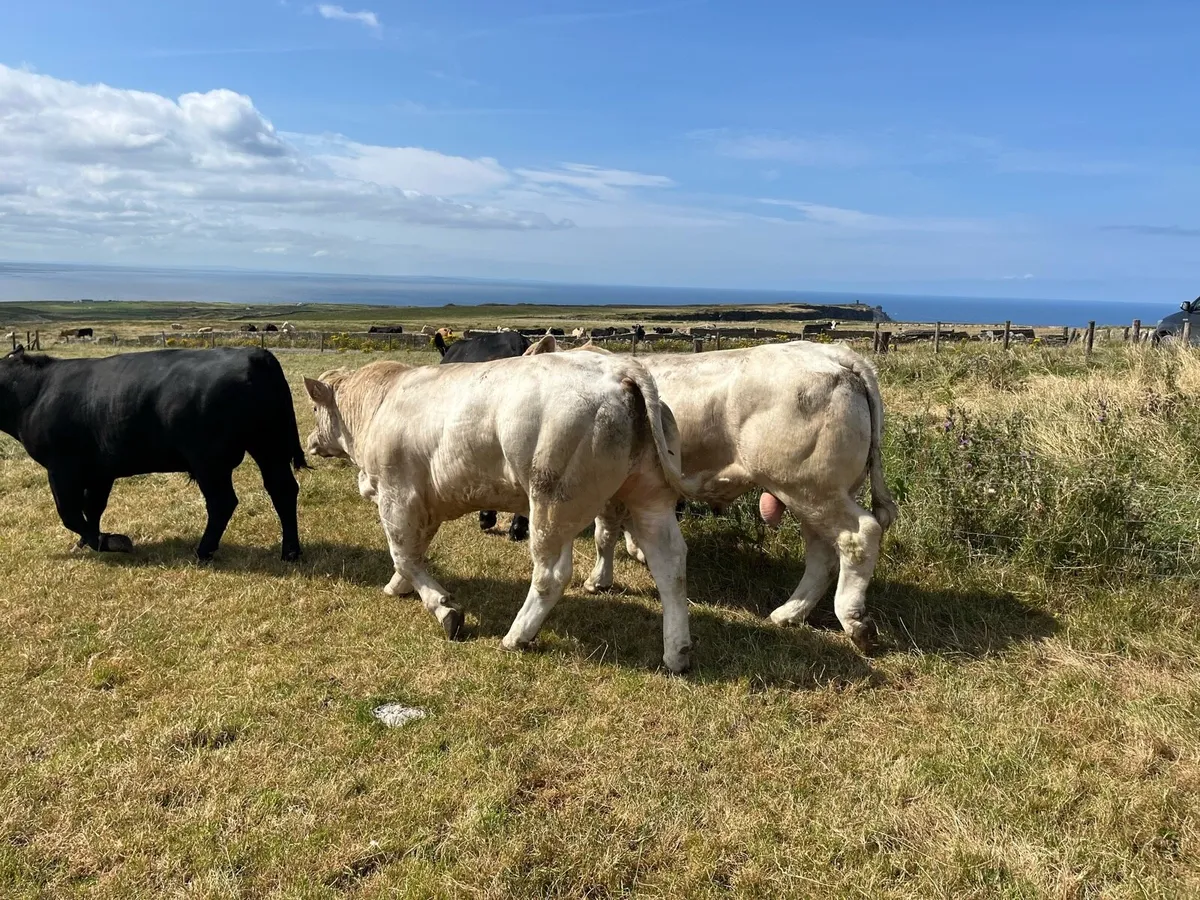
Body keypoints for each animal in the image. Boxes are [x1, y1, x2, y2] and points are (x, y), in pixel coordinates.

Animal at [0, 346, 306, 561]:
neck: (36, 392)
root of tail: (255, 355)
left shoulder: (61, 468)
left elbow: (70, 514)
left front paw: (109, 541)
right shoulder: (100, 471)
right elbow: (93, 507)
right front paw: (87, 542)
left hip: (210, 461)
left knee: (223, 502)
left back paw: (203, 551)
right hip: (269, 446)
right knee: (282, 489)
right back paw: (290, 552)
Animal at [302, 352, 693, 671]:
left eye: (315, 409)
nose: (310, 441)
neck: (379, 404)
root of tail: (619, 368)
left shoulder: (398, 495)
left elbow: (403, 554)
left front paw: (444, 609)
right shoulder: (426, 503)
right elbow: (415, 551)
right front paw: (398, 586)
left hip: (553, 504)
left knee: (551, 574)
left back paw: (517, 636)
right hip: (649, 498)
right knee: (670, 565)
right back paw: (677, 652)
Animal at [542, 338, 898, 653]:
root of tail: (835, 353)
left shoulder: (606, 486)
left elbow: (604, 535)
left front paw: (599, 580)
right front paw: (637, 551)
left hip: (810, 488)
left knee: (858, 536)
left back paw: (854, 622)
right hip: (817, 494)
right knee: (823, 552)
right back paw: (789, 613)